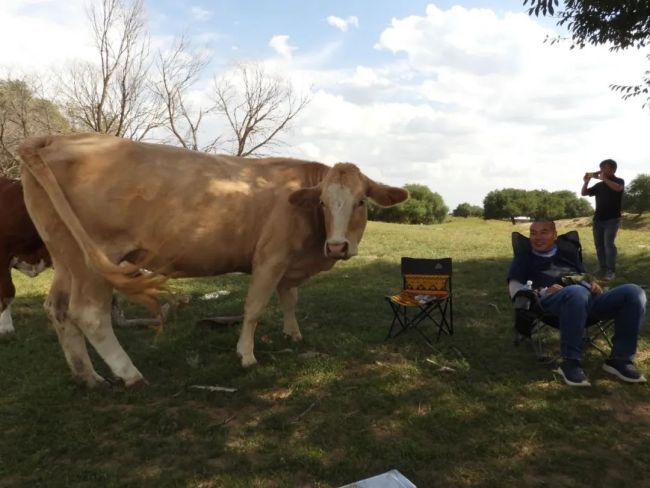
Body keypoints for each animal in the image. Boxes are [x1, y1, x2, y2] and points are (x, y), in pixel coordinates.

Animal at [17, 132, 408, 386]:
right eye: (324, 203)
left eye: (361, 201)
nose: (338, 247)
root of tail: (58, 139)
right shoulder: (270, 258)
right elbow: (254, 308)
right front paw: (246, 355)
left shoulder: (288, 264)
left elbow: (289, 299)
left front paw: (293, 334)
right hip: (97, 260)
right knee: (89, 315)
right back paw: (129, 374)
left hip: (66, 256)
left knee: (58, 309)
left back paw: (88, 376)